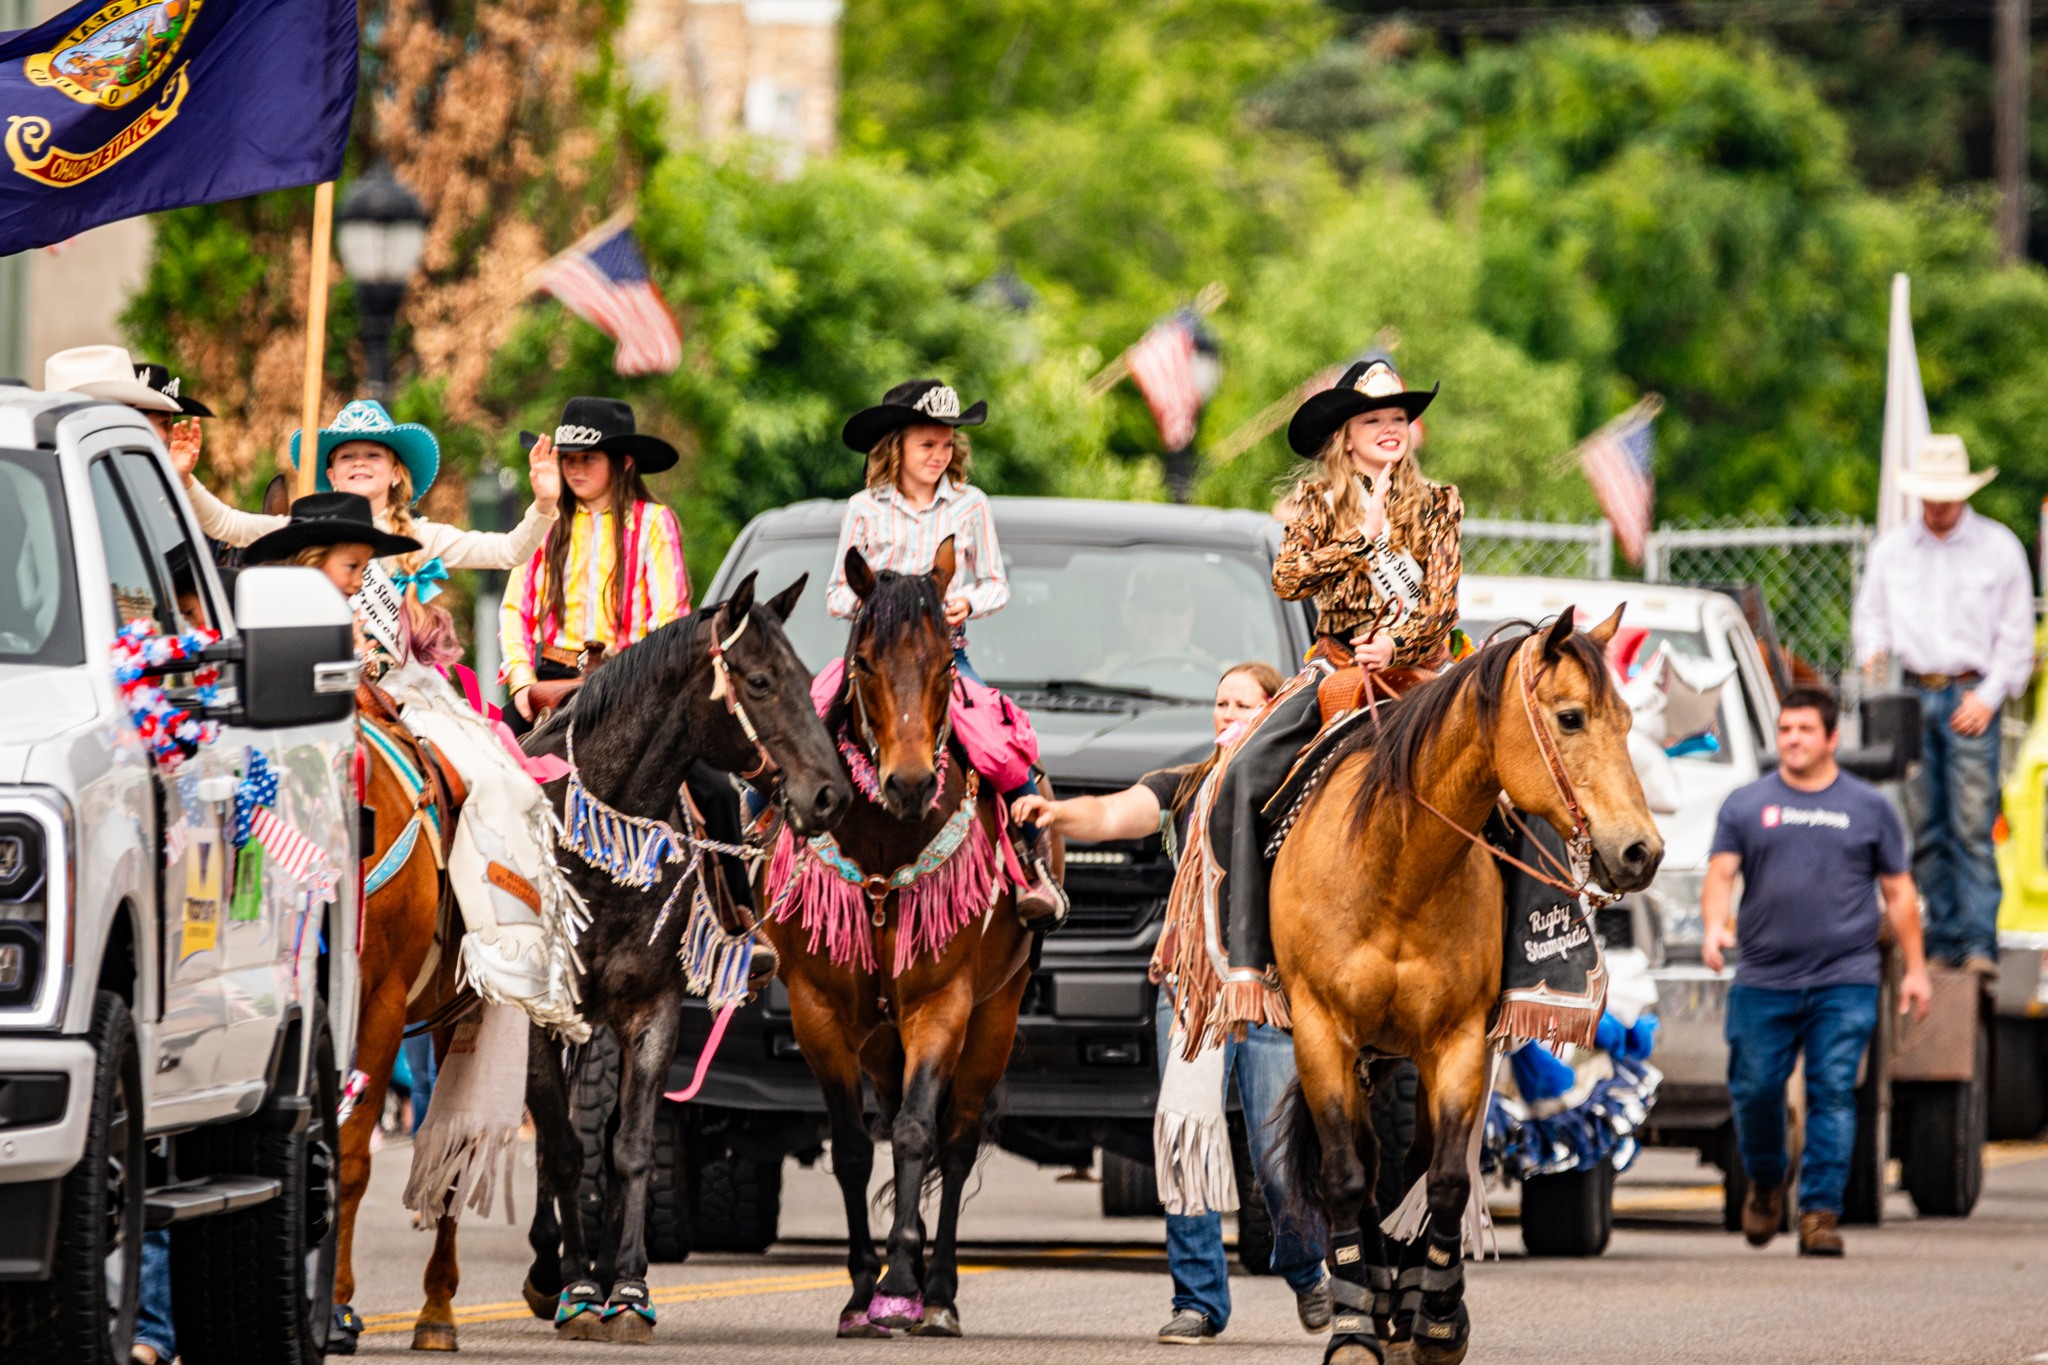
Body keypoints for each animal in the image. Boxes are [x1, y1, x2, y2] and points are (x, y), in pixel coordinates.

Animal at [761, 540, 1032, 1342]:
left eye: (946, 663)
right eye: (864, 662)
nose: (909, 781)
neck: (885, 844)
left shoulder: (942, 1003)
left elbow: (916, 1133)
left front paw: (903, 1282)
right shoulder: (818, 1011)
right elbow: (854, 1145)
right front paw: (860, 1291)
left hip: (996, 1016)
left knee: (959, 1139)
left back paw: (938, 1291)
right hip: (880, 1038)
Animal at [1269, 618, 1671, 1365]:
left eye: (1629, 721)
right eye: (1570, 717)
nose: (1642, 851)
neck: (1397, 865)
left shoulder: (1456, 1040)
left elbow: (1448, 1178)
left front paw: (1436, 1320)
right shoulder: (1320, 1031)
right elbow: (1344, 1174)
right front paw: (1353, 1326)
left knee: (1411, 1164)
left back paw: (1402, 1303)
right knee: (1367, 1167)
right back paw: (1374, 1298)